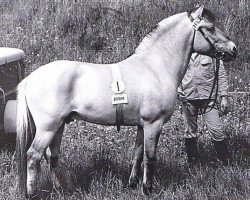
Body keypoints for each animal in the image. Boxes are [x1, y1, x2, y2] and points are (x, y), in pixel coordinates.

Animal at [16, 5, 236, 198]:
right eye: (210, 28)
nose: (233, 49)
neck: (154, 67)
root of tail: (30, 78)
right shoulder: (153, 123)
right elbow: (150, 156)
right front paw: (147, 189)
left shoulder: (141, 125)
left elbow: (137, 154)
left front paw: (132, 184)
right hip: (48, 127)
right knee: (33, 156)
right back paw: (32, 194)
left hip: (59, 125)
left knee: (52, 156)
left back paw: (62, 190)